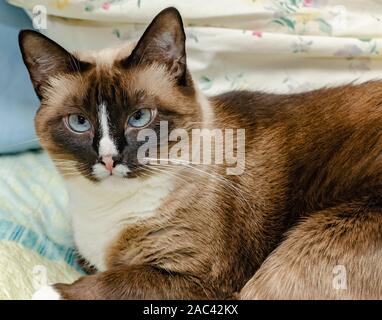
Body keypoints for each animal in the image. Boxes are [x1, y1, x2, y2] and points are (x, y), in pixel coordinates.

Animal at [18, 6, 382, 298]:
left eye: (140, 117)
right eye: (79, 123)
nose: (109, 159)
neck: (108, 209)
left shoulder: (200, 281)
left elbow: (115, 281)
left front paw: (47, 291)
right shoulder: (89, 257)